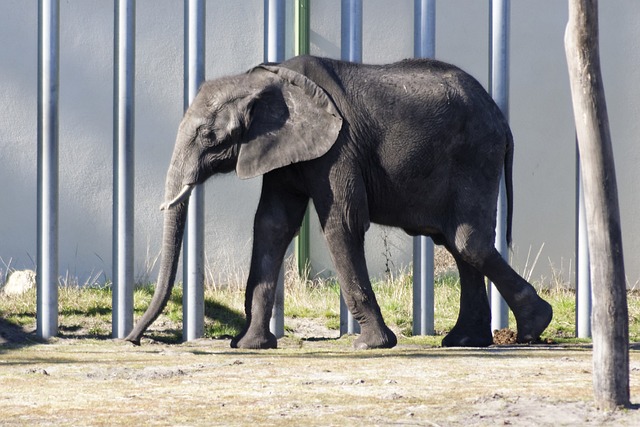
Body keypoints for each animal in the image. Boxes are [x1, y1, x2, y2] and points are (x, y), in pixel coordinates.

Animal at [124, 55, 552, 350]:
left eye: (208, 136)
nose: (133, 339)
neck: (265, 80)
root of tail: (502, 118)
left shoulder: (338, 147)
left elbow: (341, 224)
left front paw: (371, 345)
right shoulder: (284, 151)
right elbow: (272, 225)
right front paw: (249, 346)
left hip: (475, 155)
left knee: (468, 241)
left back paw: (534, 327)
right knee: (456, 244)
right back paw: (465, 341)